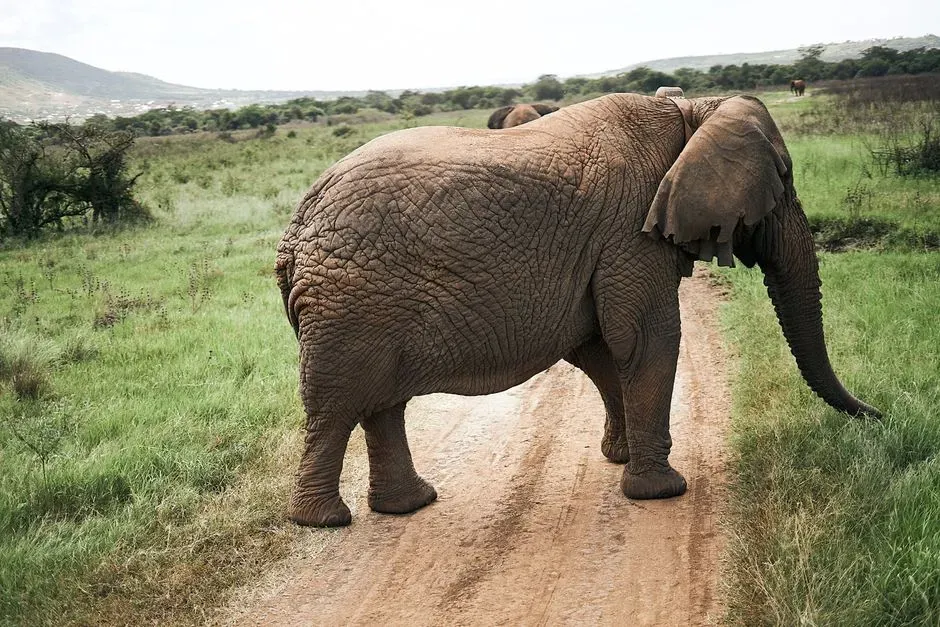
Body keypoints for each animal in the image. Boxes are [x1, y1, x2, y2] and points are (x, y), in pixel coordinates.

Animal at [276, 92, 881, 527]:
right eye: (785, 179)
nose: (880, 416)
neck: (690, 113)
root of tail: (295, 226)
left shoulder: (602, 247)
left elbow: (600, 348)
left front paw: (621, 459)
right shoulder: (628, 231)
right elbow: (646, 338)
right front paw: (661, 492)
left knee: (382, 404)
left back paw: (409, 506)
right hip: (349, 301)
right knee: (337, 405)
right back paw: (323, 522)